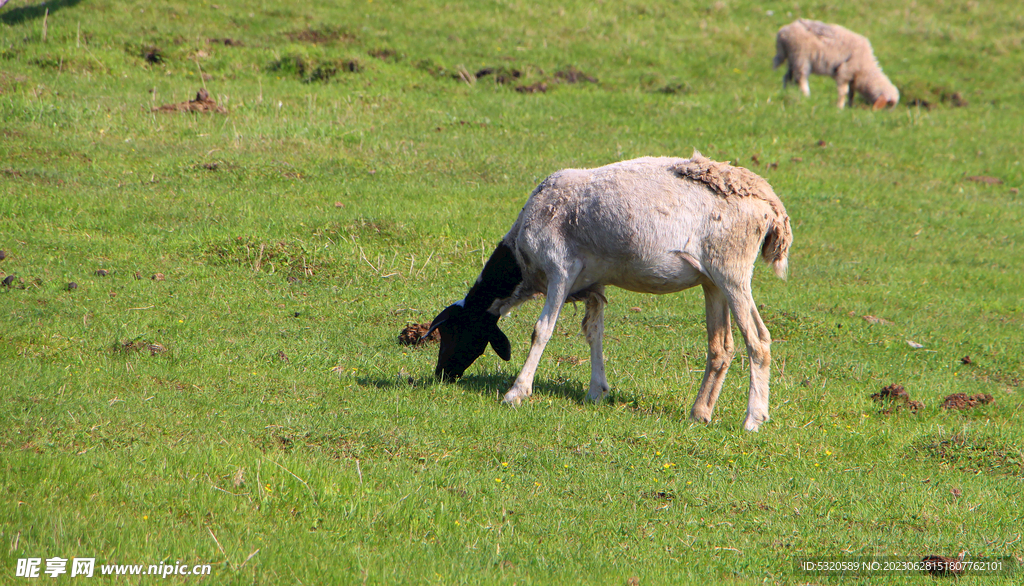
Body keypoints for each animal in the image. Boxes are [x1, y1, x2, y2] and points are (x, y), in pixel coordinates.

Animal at [423, 153, 790, 432]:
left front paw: (517, 392)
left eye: (453, 331)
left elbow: (542, 331)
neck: (522, 266)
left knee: (758, 341)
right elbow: (594, 333)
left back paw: (753, 419)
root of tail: (771, 204)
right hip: (712, 280)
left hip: (733, 271)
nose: (442, 375)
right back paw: (700, 413)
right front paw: (596, 391)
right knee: (721, 348)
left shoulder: (560, 269)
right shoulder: (592, 285)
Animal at [770, 18, 901, 109]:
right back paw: (807, 96)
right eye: (889, 105)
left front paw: (850, 106)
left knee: (787, 76)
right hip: (801, 57)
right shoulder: (845, 72)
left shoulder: (852, 77)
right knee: (801, 78)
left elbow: (851, 93)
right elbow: (844, 92)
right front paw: (840, 107)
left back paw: (787, 91)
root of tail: (783, 32)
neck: (866, 69)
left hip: (792, 58)